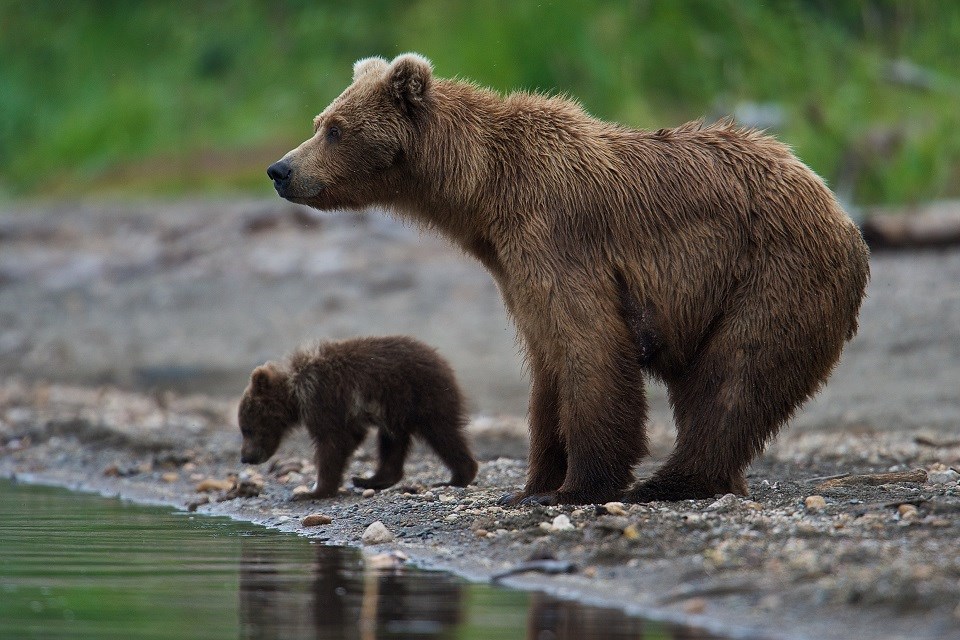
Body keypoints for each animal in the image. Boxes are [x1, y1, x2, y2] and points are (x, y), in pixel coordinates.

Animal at [268, 53, 872, 504]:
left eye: (335, 129)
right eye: (320, 122)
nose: (280, 169)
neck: (482, 193)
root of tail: (845, 218)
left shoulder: (559, 236)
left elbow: (590, 348)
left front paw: (579, 485)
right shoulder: (513, 267)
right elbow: (547, 364)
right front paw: (532, 484)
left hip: (772, 273)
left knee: (734, 376)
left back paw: (671, 482)